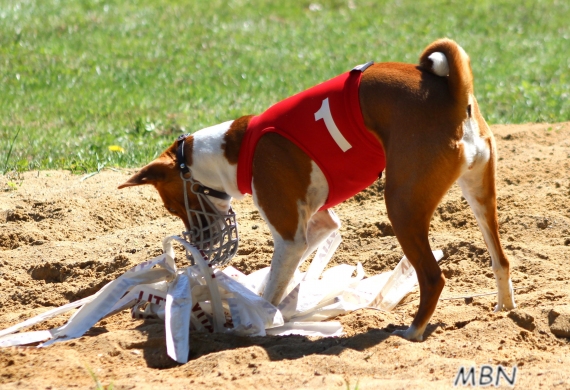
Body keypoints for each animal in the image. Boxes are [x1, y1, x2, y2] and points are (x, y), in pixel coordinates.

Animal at [117, 38, 512, 340]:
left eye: (172, 207)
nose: (199, 245)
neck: (238, 148)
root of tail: (452, 93)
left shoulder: (290, 237)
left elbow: (271, 291)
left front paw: (252, 322)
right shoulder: (318, 225)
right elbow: (284, 276)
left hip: (402, 206)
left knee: (432, 277)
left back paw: (412, 331)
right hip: (479, 195)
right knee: (500, 259)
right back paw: (506, 310)